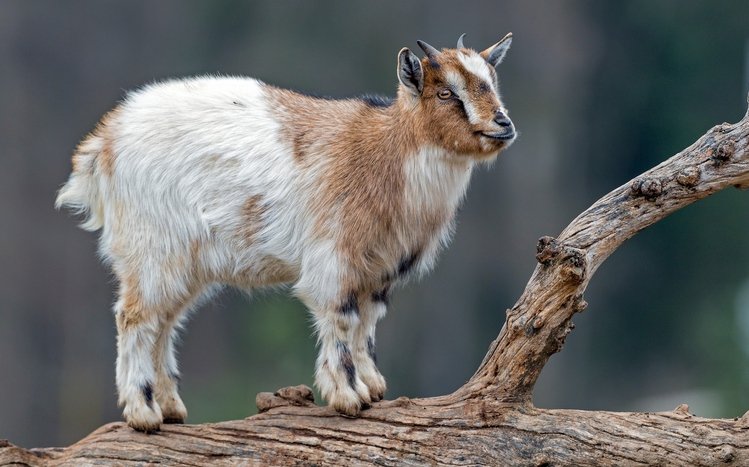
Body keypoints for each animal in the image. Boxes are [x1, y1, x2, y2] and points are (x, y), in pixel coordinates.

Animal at [56, 33, 516, 432]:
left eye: (493, 83)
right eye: (446, 93)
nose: (503, 123)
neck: (386, 151)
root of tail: (104, 143)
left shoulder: (377, 267)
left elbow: (367, 324)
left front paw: (372, 388)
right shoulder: (334, 257)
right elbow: (342, 320)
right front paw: (347, 396)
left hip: (184, 263)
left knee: (164, 322)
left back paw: (169, 408)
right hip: (152, 248)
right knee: (134, 317)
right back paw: (143, 414)